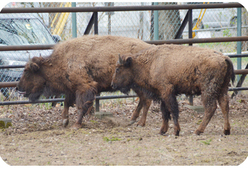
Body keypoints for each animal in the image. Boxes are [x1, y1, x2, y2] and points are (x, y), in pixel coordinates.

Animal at [17, 35, 153, 128]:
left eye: (27, 72)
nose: (18, 88)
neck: (62, 60)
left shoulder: (84, 87)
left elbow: (81, 105)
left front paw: (76, 124)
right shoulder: (71, 89)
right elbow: (67, 102)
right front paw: (65, 120)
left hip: (139, 85)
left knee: (146, 100)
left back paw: (140, 123)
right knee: (142, 99)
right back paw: (132, 119)